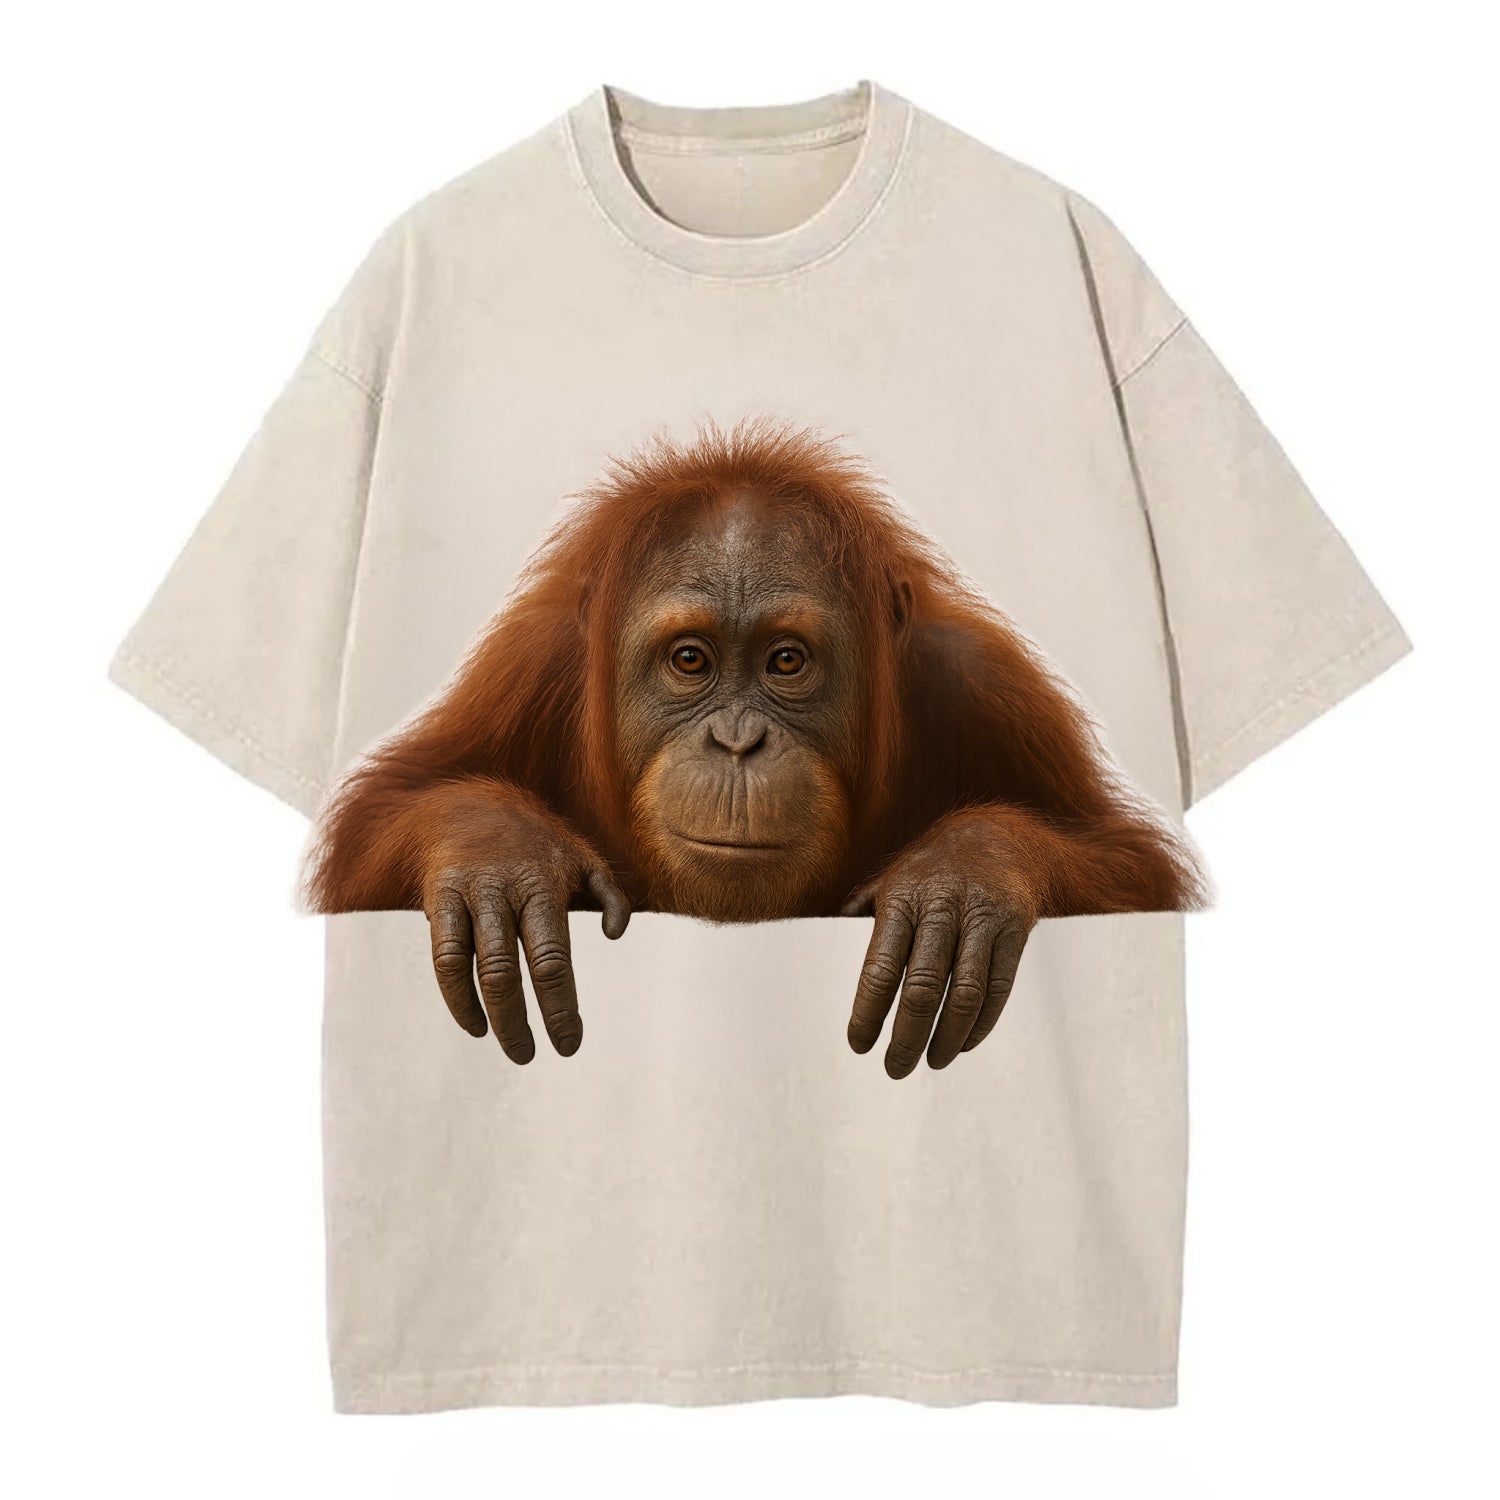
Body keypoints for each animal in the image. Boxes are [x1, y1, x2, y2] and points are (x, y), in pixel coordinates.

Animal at [302, 418, 1209, 1078]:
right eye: (690, 661)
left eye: (786, 662)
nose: (738, 740)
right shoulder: (532, 664)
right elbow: (378, 824)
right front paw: (500, 858)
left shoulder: (980, 681)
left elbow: (1127, 865)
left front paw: (964, 881)